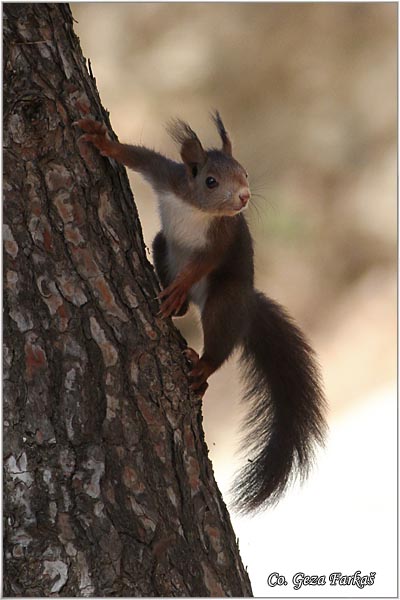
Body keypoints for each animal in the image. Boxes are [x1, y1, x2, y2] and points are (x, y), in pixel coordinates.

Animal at [76, 111, 326, 510]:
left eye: (245, 172)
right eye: (210, 181)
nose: (243, 197)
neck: (197, 208)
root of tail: (248, 303)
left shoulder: (221, 236)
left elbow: (204, 261)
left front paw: (181, 284)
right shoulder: (168, 177)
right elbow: (136, 155)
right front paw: (102, 140)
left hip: (224, 301)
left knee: (218, 340)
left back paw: (202, 361)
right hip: (161, 244)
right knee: (166, 255)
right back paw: (176, 305)